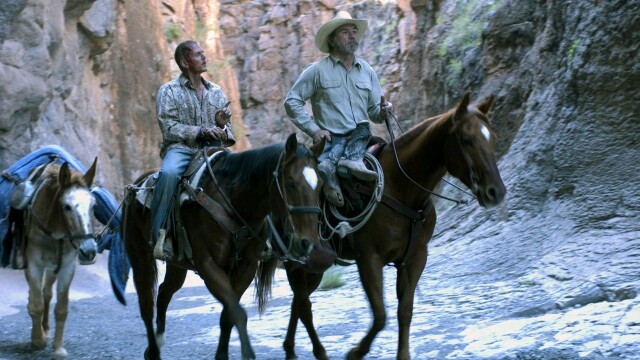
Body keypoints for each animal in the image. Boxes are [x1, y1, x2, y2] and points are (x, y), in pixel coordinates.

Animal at [20, 160, 98, 358]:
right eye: (67, 206)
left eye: (93, 206)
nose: (89, 251)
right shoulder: (33, 264)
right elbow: (36, 304)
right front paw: (37, 340)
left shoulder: (67, 266)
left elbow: (61, 307)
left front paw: (58, 348)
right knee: (37, 295)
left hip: (53, 267)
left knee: (47, 293)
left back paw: (46, 329)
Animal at [123, 134, 338, 360]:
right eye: (290, 182)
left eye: (320, 185)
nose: (308, 243)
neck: (234, 202)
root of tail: (135, 186)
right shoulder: (209, 266)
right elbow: (237, 312)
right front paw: (247, 353)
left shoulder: (246, 268)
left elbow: (228, 314)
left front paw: (222, 354)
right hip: (139, 256)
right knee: (146, 304)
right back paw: (153, 351)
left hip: (177, 265)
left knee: (164, 292)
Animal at [262, 93, 508, 360]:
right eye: (467, 140)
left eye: (493, 138)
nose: (496, 192)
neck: (401, 188)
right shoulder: (369, 259)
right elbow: (380, 316)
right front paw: (355, 352)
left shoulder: (415, 258)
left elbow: (405, 311)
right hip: (294, 262)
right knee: (304, 306)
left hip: (315, 265)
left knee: (298, 302)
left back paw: (290, 348)